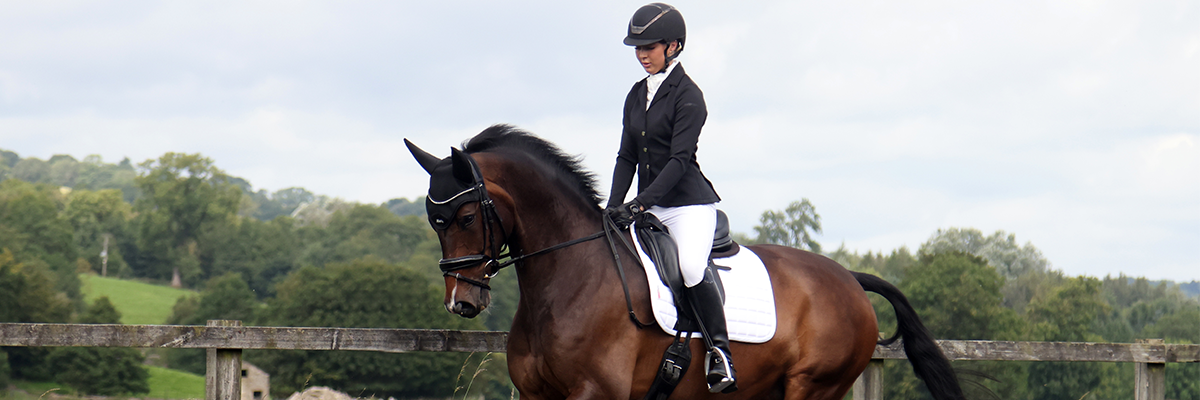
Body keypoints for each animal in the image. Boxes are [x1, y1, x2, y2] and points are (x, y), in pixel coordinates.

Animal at [405, 125, 964, 400]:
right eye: (434, 222)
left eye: (467, 215)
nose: (463, 302)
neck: (567, 280)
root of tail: (848, 277)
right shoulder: (538, 396)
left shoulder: (595, 393)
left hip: (813, 387)